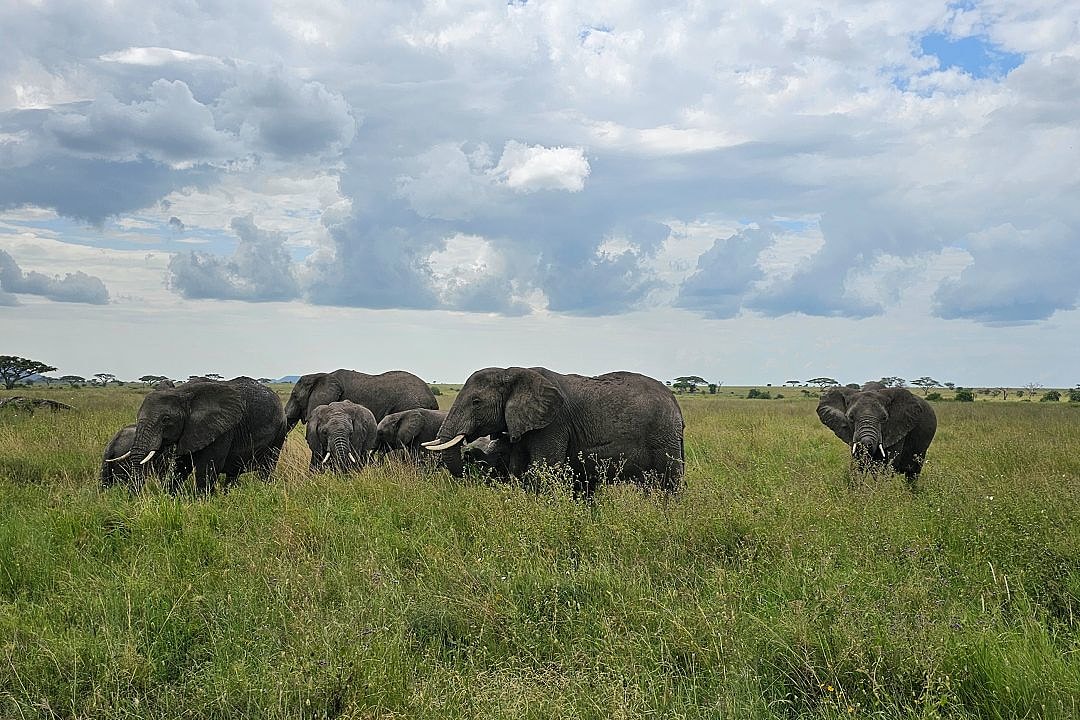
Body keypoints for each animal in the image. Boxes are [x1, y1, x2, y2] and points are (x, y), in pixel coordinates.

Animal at [107, 376, 287, 494]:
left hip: (280, 432)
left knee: (267, 468)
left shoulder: (222, 428)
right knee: (233, 473)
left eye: (166, 420)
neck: (182, 392)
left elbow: (207, 468)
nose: (133, 498)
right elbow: (181, 466)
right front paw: (170, 498)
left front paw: (202, 503)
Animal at [424, 367, 685, 496]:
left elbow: (544, 469)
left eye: (476, 402)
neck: (512, 372)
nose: (468, 454)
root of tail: (675, 402)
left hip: (664, 436)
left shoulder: (553, 423)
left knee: (668, 483)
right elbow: (520, 468)